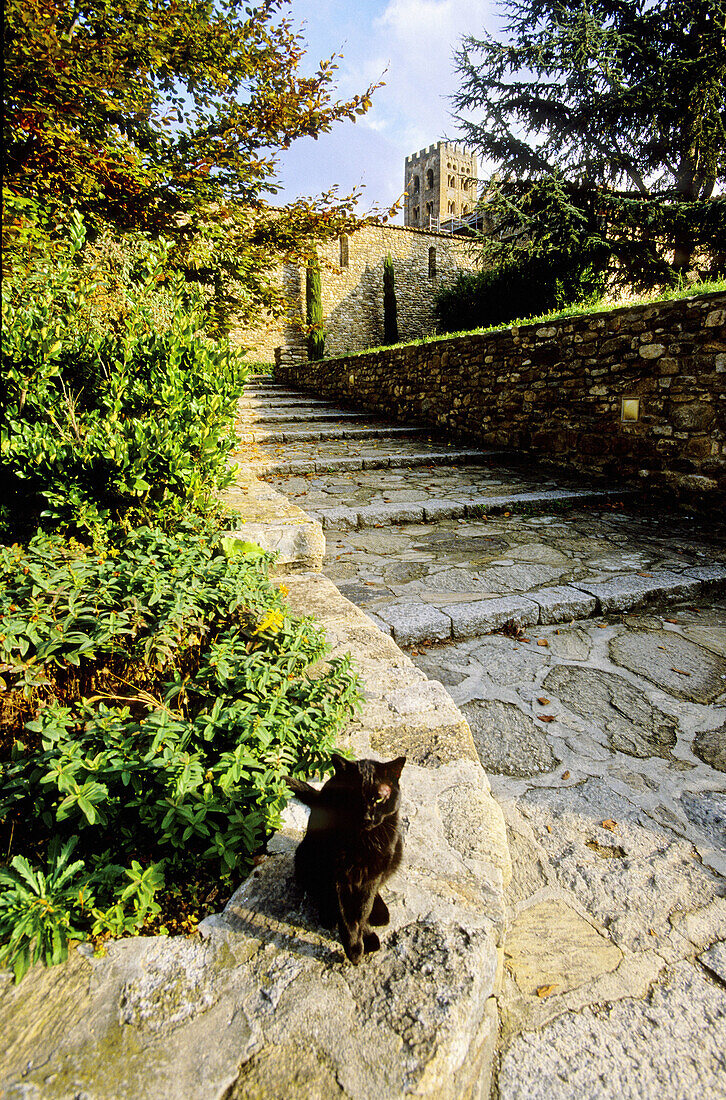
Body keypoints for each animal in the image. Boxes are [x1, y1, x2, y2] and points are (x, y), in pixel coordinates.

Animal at [286, 752, 404, 968]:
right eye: (355, 796)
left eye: (379, 798)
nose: (367, 817)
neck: (361, 839)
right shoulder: (337, 873)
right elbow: (345, 913)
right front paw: (355, 949)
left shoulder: (373, 873)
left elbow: (363, 908)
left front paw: (364, 937)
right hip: (306, 856)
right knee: (317, 890)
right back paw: (327, 916)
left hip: (395, 850)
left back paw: (380, 912)